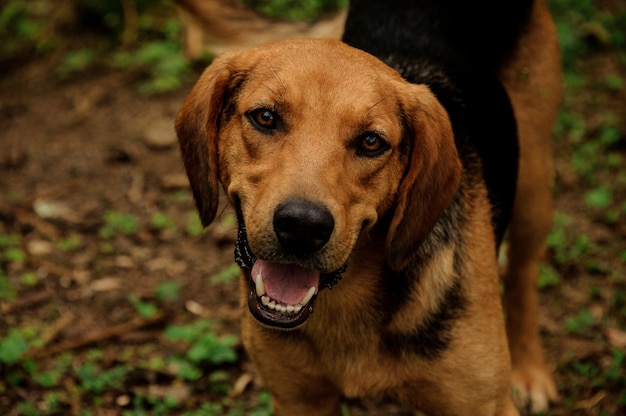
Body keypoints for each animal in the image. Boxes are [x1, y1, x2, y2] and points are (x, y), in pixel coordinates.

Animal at [173, 0, 560, 412]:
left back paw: (529, 368)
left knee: (522, 276)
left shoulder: (481, 405)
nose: (302, 226)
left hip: (533, 187)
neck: (344, 301)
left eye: (372, 142)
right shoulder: (299, 401)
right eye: (265, 117)